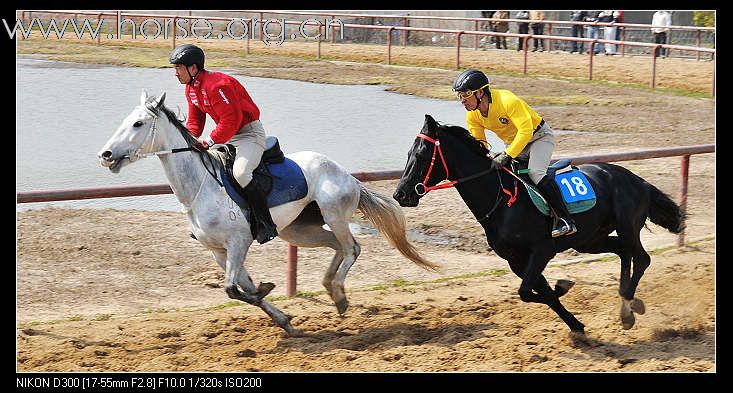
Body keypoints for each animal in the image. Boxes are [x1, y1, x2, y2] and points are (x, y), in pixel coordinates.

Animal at [99, 91, 438, 334]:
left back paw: (340, 295)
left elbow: (233, 289)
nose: (106, 155)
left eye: (138, 124)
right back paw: (330, 288)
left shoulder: (238, 243)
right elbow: (242, 288)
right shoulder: (218, 251)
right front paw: (282, 317)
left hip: (333, 214)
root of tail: (347, 174)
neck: (201, 188)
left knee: (352, 248)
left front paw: (268, 291)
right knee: (337, 246)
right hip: (298, 231)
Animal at [392, 114, 684, 336]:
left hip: (626, 226)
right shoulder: (517, 261)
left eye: (421, 154)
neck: (501, 200)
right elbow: (541, 293)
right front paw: (575, 324)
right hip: (591, 239)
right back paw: (626, 303)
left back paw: (630, 309)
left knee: (642, 258)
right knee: (623, 252)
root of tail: (638, 180)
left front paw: (563, 289)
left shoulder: (542, 251)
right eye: (407, 153)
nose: (401, 194)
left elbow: (526, 292)